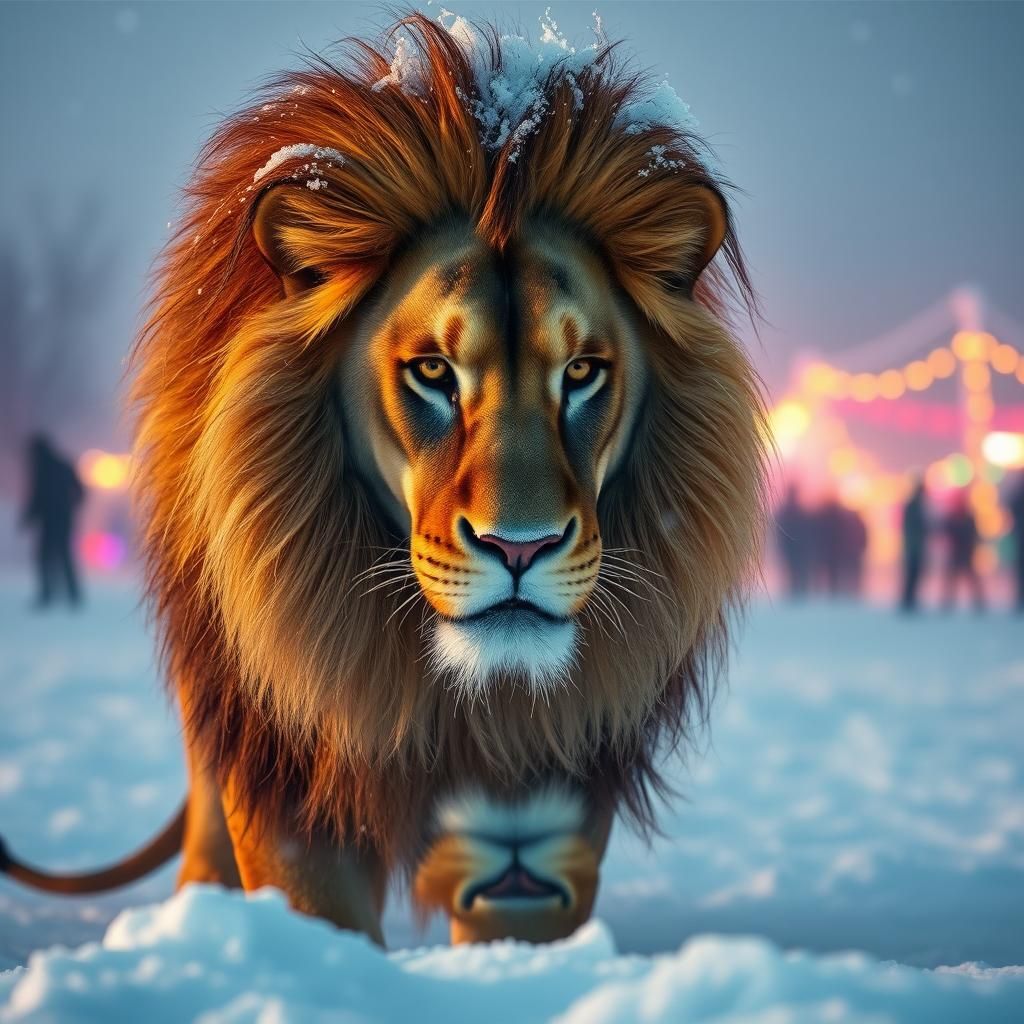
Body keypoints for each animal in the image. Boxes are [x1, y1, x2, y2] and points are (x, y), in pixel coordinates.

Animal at [1, 13, 766, 946]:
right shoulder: (290, 783)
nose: (522, 547)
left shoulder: (550, 807)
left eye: (583, 372)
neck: (454, 702)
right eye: (433, 371)